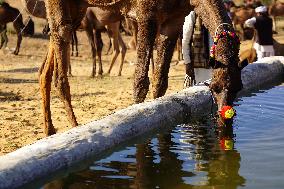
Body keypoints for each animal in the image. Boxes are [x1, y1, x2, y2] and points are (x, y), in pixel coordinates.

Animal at [22, 0, 245, 136]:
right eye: (214, 88)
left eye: (238, 88)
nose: (226, 117)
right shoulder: (147, 14)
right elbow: (140, 81)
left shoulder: (174, 19)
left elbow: (160, 81)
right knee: (60, 65)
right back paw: (76, 128)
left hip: (77, 9)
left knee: (45, 69)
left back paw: (50, 130)